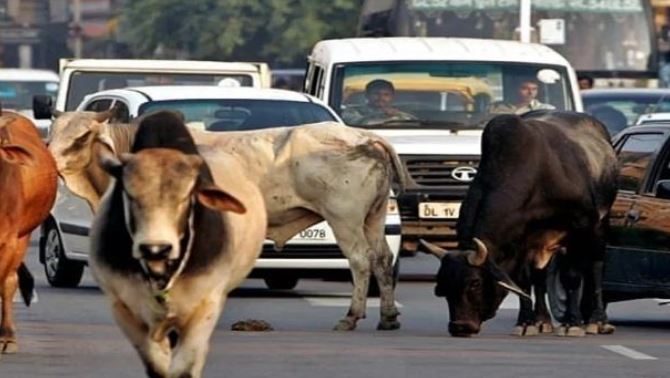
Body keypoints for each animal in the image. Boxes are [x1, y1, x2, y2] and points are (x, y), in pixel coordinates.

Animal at [50, 109, 404, 330]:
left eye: (82, 137)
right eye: (51, 133)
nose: (49, 159)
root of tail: (365, 137)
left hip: (344, 219)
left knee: (360, 261)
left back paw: (351, 317)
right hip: (373, 218)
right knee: (382, 259)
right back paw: (387, 317)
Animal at [90, 110, 268, 376]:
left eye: (185, 197)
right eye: (130, 195)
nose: (155, 248)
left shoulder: (205, 307)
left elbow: (184, 368)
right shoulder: (123, 308)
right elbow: (158, 368)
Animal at [426, 110, 620, 338]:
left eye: (475, 282)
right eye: (443, 286)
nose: (459, 327)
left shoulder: (579, 228)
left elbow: (572, 277)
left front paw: (572, 324)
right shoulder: (521, 242)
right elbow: (524, 281)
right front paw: (526, 322)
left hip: (600, 225)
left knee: (596, 266)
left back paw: (597, 321)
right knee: (540, 276)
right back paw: (542, 320)